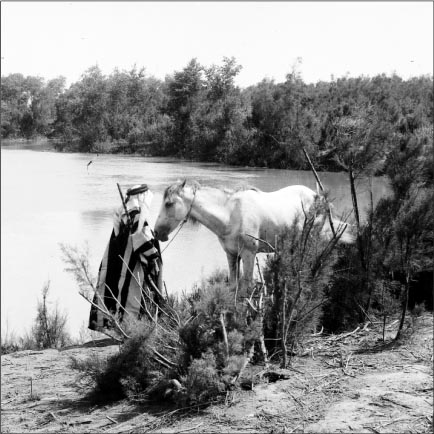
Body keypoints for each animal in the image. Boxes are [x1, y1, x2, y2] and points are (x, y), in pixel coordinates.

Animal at [154, 181, 350, 290]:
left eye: (169, 204)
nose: (156, 232)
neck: (230, 214)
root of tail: (320, 198)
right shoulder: (232, 255)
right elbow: (234, 285)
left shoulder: (249, 255)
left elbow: (247, 287)